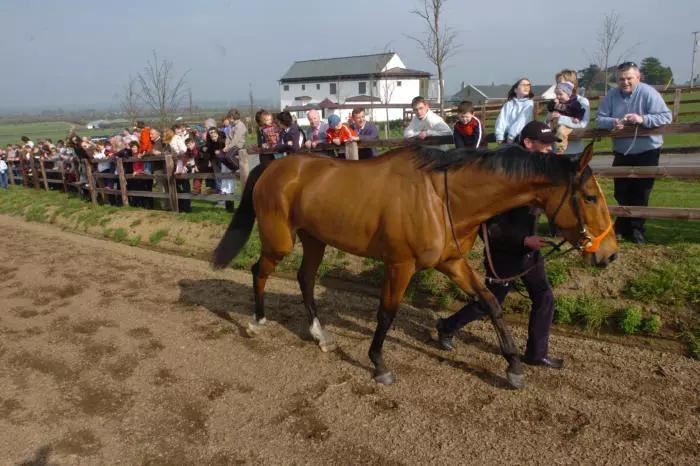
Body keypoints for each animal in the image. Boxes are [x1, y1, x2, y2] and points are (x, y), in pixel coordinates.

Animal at [212, 143, 616, 390]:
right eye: (590, 197)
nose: (609, 254)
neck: (440, 197)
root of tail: (273, 166)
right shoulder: (400, 265)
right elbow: (387, 314)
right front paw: (379, 365)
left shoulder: (452, 262)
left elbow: (490, 303)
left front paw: (514, 368)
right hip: (280, 241)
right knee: (260, 272)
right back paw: (256, 322)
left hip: (314, 239)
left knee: (305, 279)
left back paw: (320, 336)